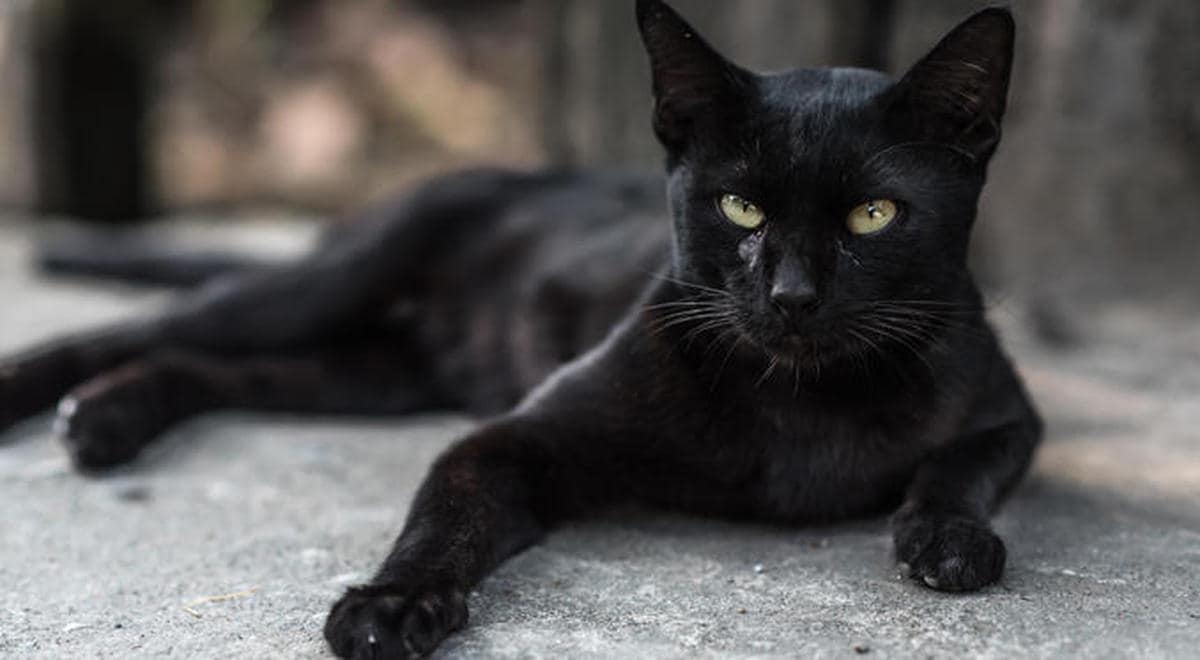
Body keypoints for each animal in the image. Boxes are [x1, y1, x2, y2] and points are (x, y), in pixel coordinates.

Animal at [0, 2, 1036, 657]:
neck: (802, 402)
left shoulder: (1009, 412)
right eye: (739, 207)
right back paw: (53, 401)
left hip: (368, 375)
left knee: (201, 365)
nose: (790, 296)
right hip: (323, 290)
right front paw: (390, 605)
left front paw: (948, 541)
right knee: (142, 330)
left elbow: (959, 464)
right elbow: (445, 518)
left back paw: (105, 422)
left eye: (874, 216)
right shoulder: (521, 437)